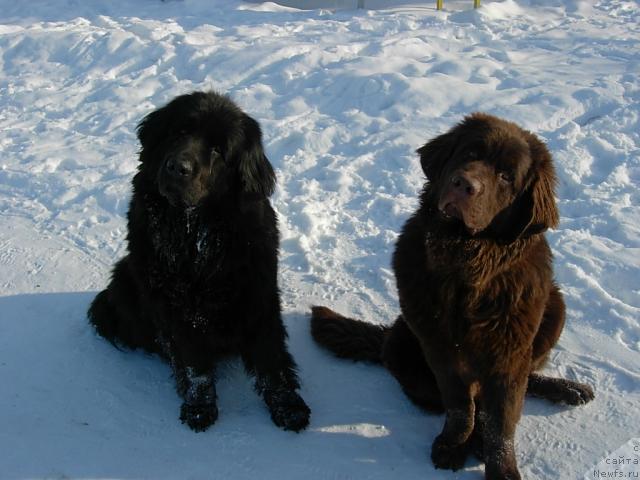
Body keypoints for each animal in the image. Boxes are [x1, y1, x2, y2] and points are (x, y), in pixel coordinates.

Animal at [89, 90, 310, 432]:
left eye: (219, 150)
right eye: (179, 132)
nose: (177, 167)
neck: (196, 237)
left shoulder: (258, 297)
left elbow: (270, 358)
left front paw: (289, 406)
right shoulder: (175, 309)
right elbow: (194, 363)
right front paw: (198, 407)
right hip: (125, 277)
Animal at [310, 113, 596, 480]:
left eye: (506, 176)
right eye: (470, 153)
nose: (464, 184)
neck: (466, 265)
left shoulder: (509, 353)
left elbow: (501, 420)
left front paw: (501, 469)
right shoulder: (439, 348)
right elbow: (461, 405)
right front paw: (452, 444)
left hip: (555, 308)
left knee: (524, 382)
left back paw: (569, 390)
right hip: (402, 345)